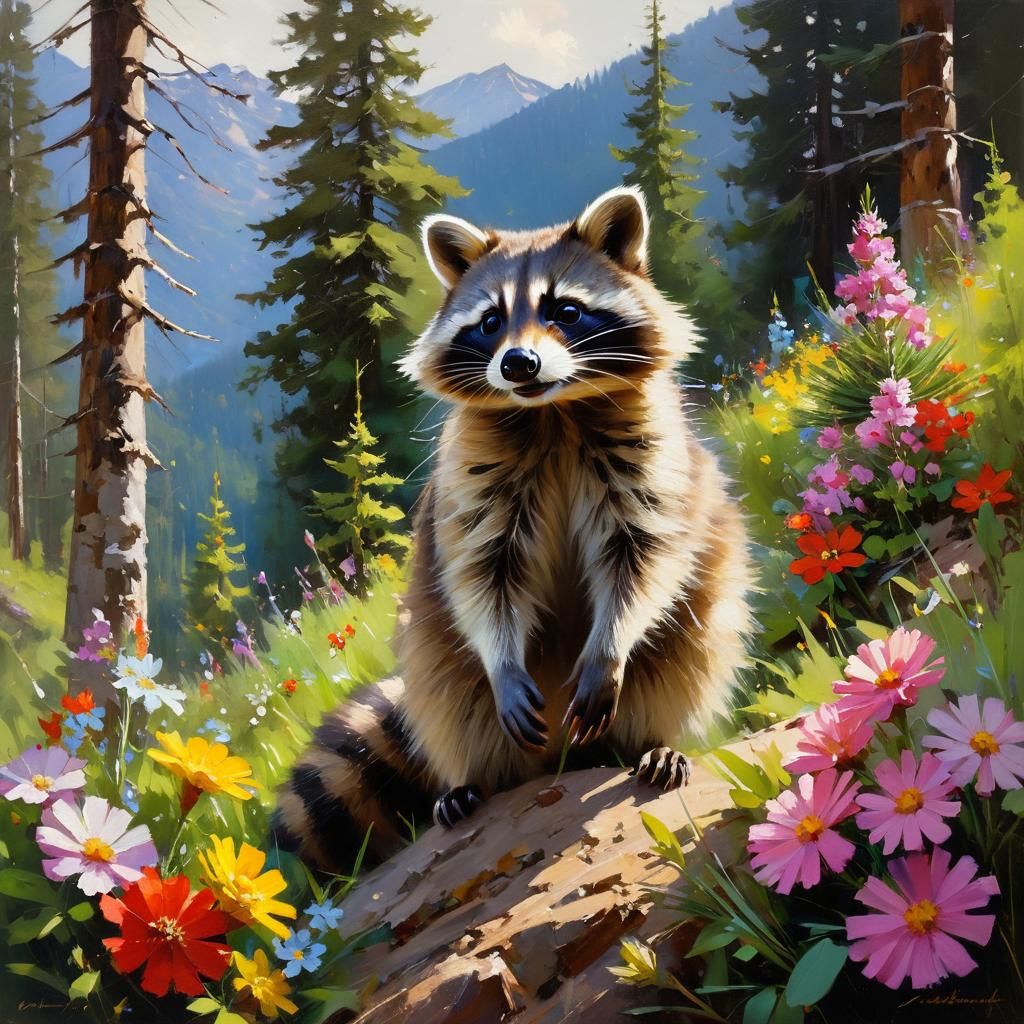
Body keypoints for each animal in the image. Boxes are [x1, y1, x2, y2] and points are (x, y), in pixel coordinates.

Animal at [274, 187, 752, 873]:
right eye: (490, 322)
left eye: (566, 311)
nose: (519, 363)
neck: (552, 412)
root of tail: (559, 761)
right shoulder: (471, 485)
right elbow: (482, 576)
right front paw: (502, 660)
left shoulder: (654, 463)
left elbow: (644, 558)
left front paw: (609, 647)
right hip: (442, 675)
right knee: (449, 697)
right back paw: (469, 783)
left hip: (690, 644)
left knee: (685, 654)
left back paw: (653, 744)